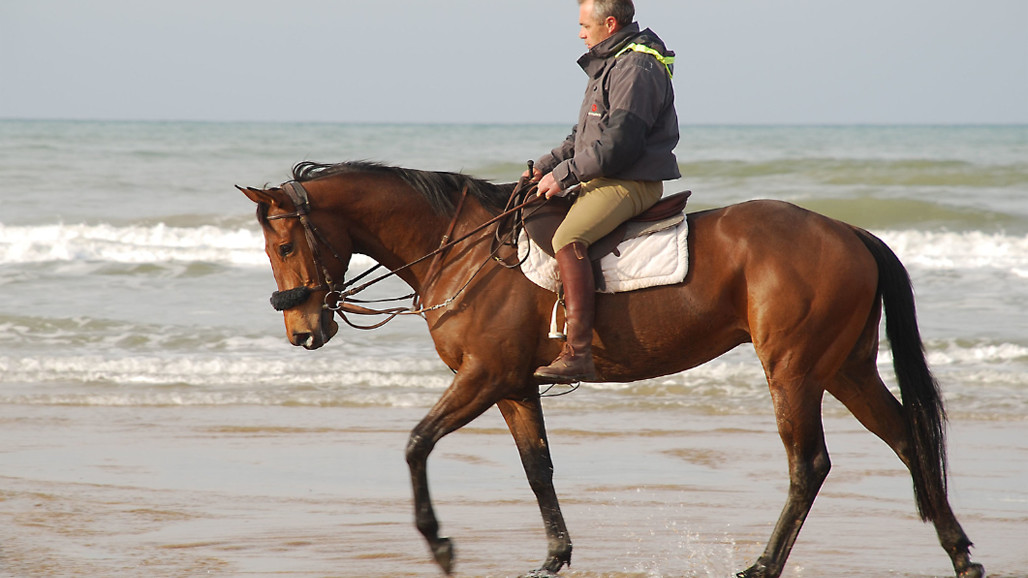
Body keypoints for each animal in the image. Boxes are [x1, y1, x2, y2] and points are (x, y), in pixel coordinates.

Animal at [240, 160, 984, 578]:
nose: (302, 332)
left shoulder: (483, 377)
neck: (463, 251)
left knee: (810, 463)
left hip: (794, 369)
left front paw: (440, 544)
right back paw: (960, 554)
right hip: (845, 368)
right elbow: (537, 469)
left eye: (285, 245)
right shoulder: (514, 387)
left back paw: (764, 564)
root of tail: (848, 230)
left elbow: (417, 443)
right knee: (908, 437)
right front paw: (553, 557)